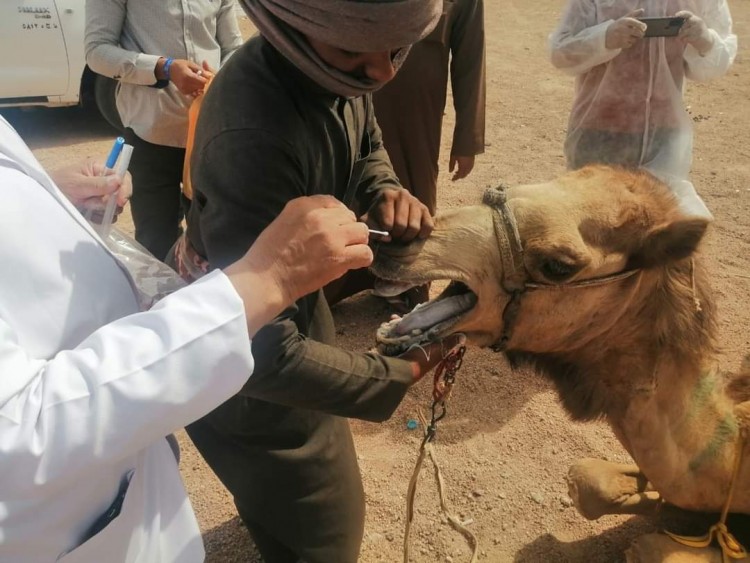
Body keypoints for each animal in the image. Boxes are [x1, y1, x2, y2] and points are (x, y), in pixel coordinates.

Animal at [374, 165, 750, 560]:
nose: (395, 237)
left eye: (557, 265)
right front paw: (661, 506)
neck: (737, 457)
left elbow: (647, 540)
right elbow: (587, 483)